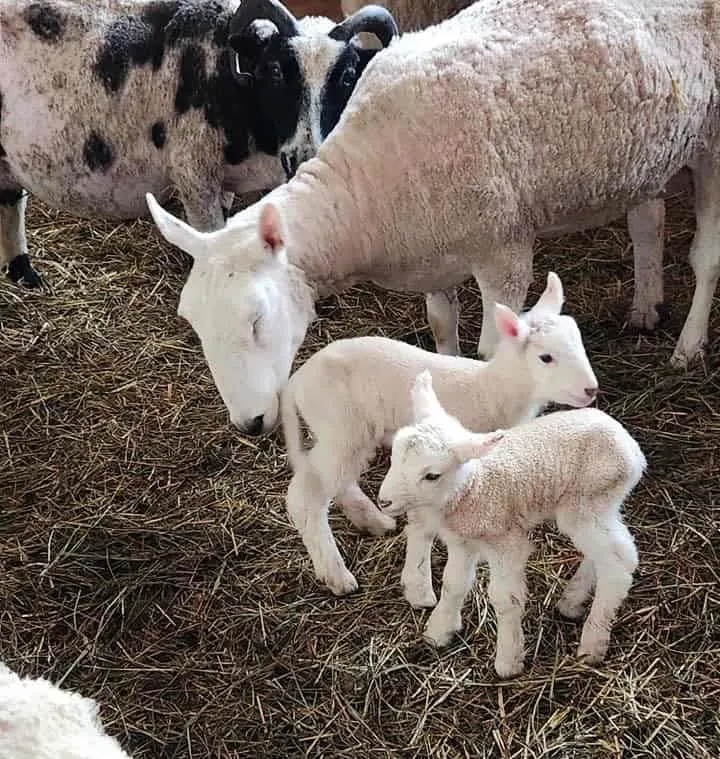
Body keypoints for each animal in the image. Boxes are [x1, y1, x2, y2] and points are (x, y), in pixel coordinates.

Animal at [0, 0, 400, 284]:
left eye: (347, 75)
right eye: (275, 71)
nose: (303, 156)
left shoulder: (222, 182)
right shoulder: (194, 173)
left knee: (9, 200)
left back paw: (24, 274)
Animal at [148, 0, 720, 440]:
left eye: (257, 320)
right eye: (192, 322)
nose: (248, 423)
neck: (364, 186)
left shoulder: (504, 253)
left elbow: (493, 351)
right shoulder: (432, 254)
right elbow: (442, 330)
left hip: (710, 143)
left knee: (706, 258)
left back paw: (687, 348)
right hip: (647, 153)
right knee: (648, 219)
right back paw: (645, 306)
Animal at [284, 270, 600, 596]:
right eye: (546, 357)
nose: (591, 390)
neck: (491, 390)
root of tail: (298, 379)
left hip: (347, 434)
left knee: (338, 480)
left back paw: (372, 520)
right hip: (340, 427)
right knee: (306, 497)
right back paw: (336, 574)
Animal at [380, 372, 644, 680]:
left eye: (431, 475)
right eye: (393, 457)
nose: (383, 501)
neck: (473, 484)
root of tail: (632, 449)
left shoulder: (506, 541)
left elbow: (505, 598)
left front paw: (508, 661)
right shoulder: (463, 541)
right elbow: (453, 584)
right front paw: (439, 631)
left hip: (587, 503)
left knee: (619, 561)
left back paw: (593, 642)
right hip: (599, 507)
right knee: (605, 553)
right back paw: (572, 601)